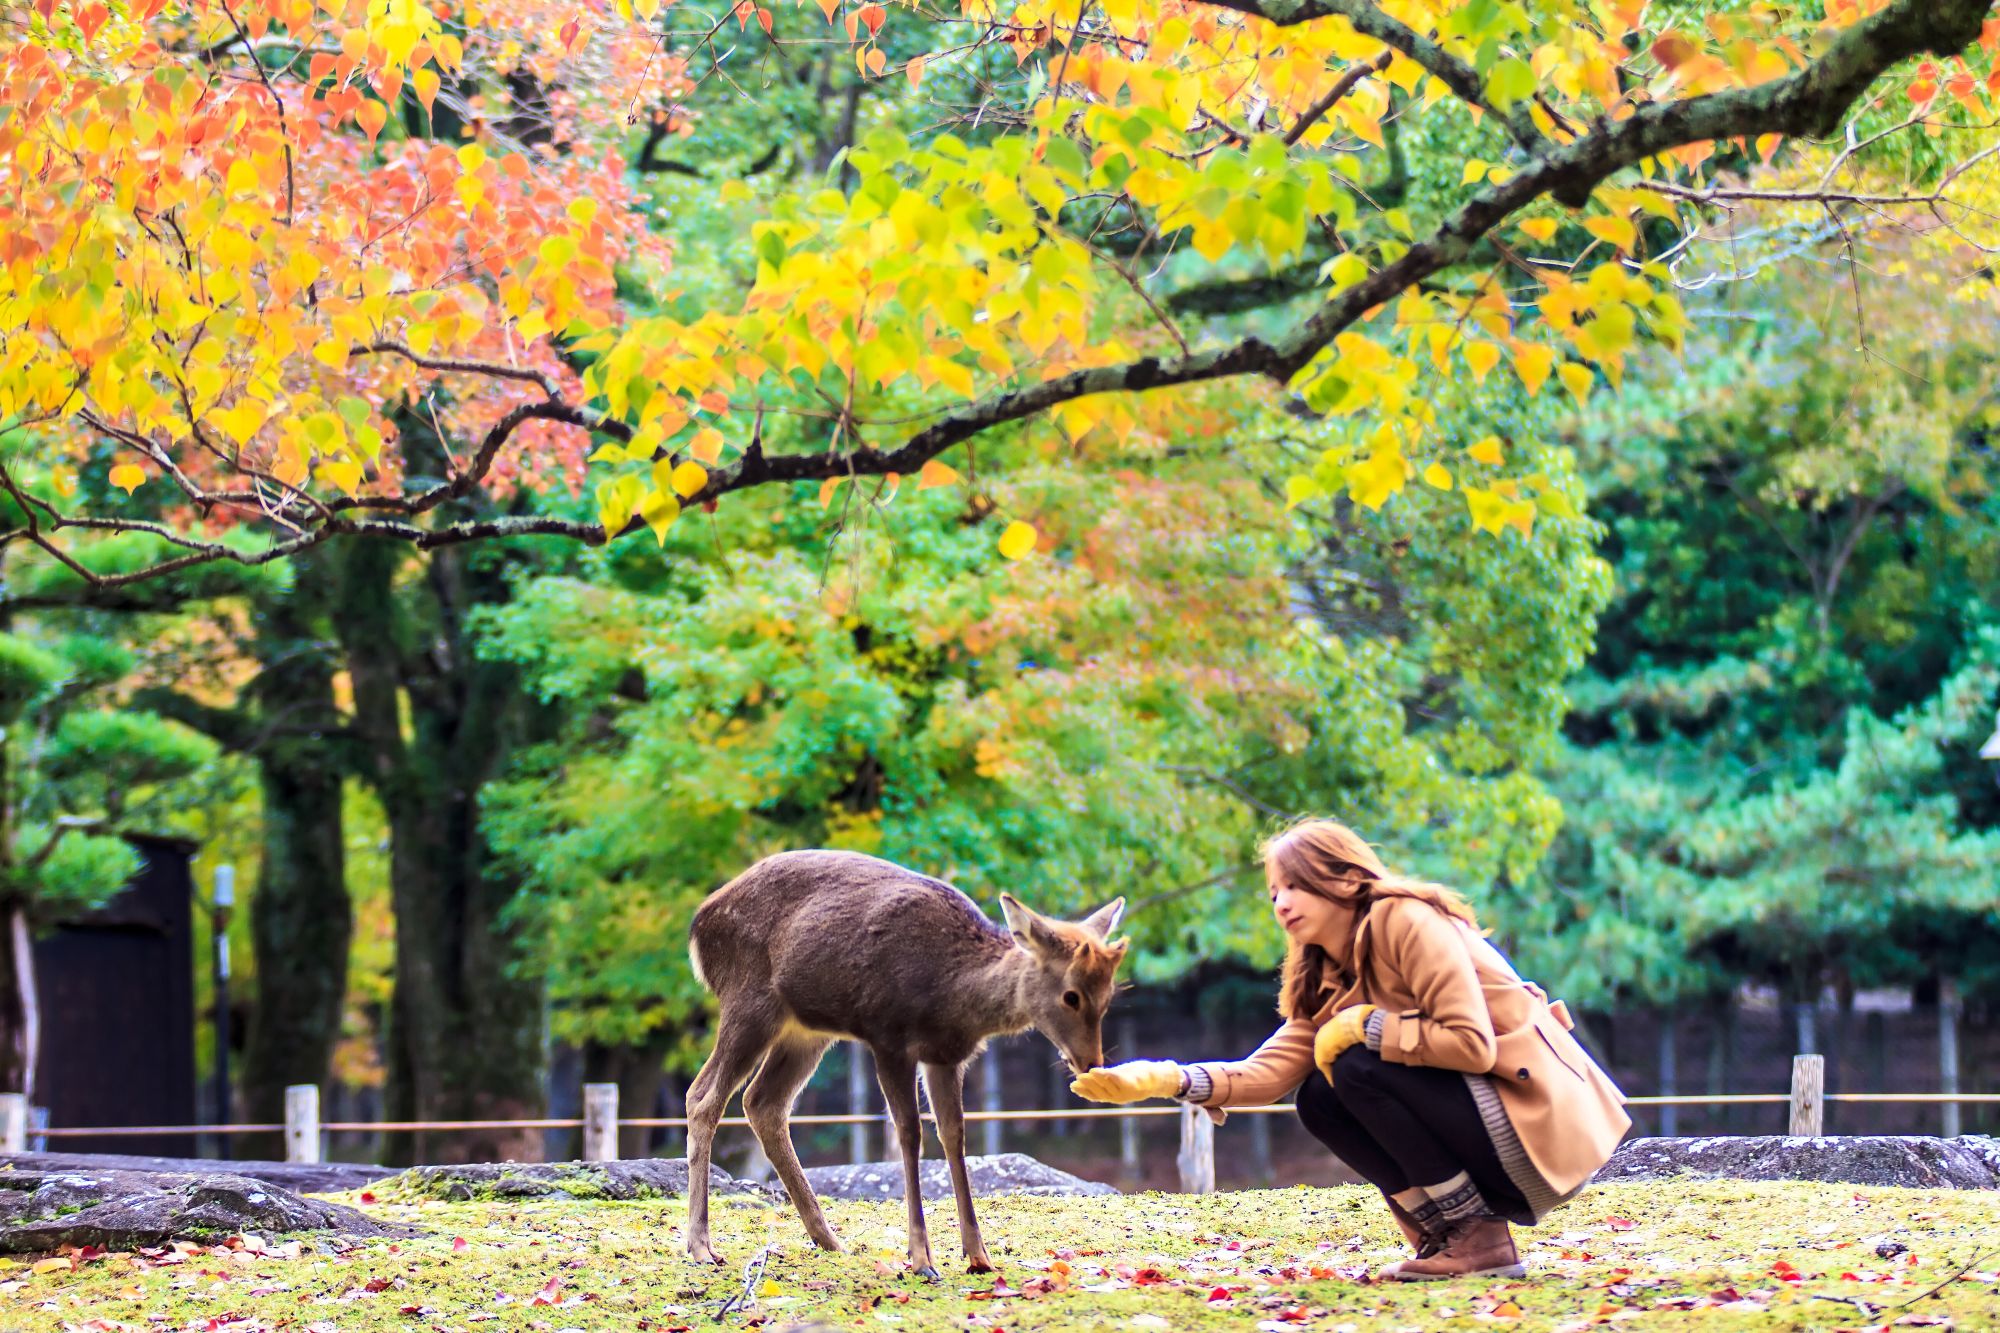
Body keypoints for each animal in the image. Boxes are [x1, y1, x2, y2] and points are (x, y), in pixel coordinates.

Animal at [681, 849, 1128, 1276]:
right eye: (1071, 995)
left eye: (1109, 997)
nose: (1090, 1062)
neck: (953, 996)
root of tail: (699, 925)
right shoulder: (888, 1036)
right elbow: (910, 1133)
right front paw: (921, 1259)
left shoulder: (946, 1056)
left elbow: (954, 1134)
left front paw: (978, 1256)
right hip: (748, 999)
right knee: (703, 1097)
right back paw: (701, 1247)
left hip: (807, 1029)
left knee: (762, 1102)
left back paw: (830, 1240)